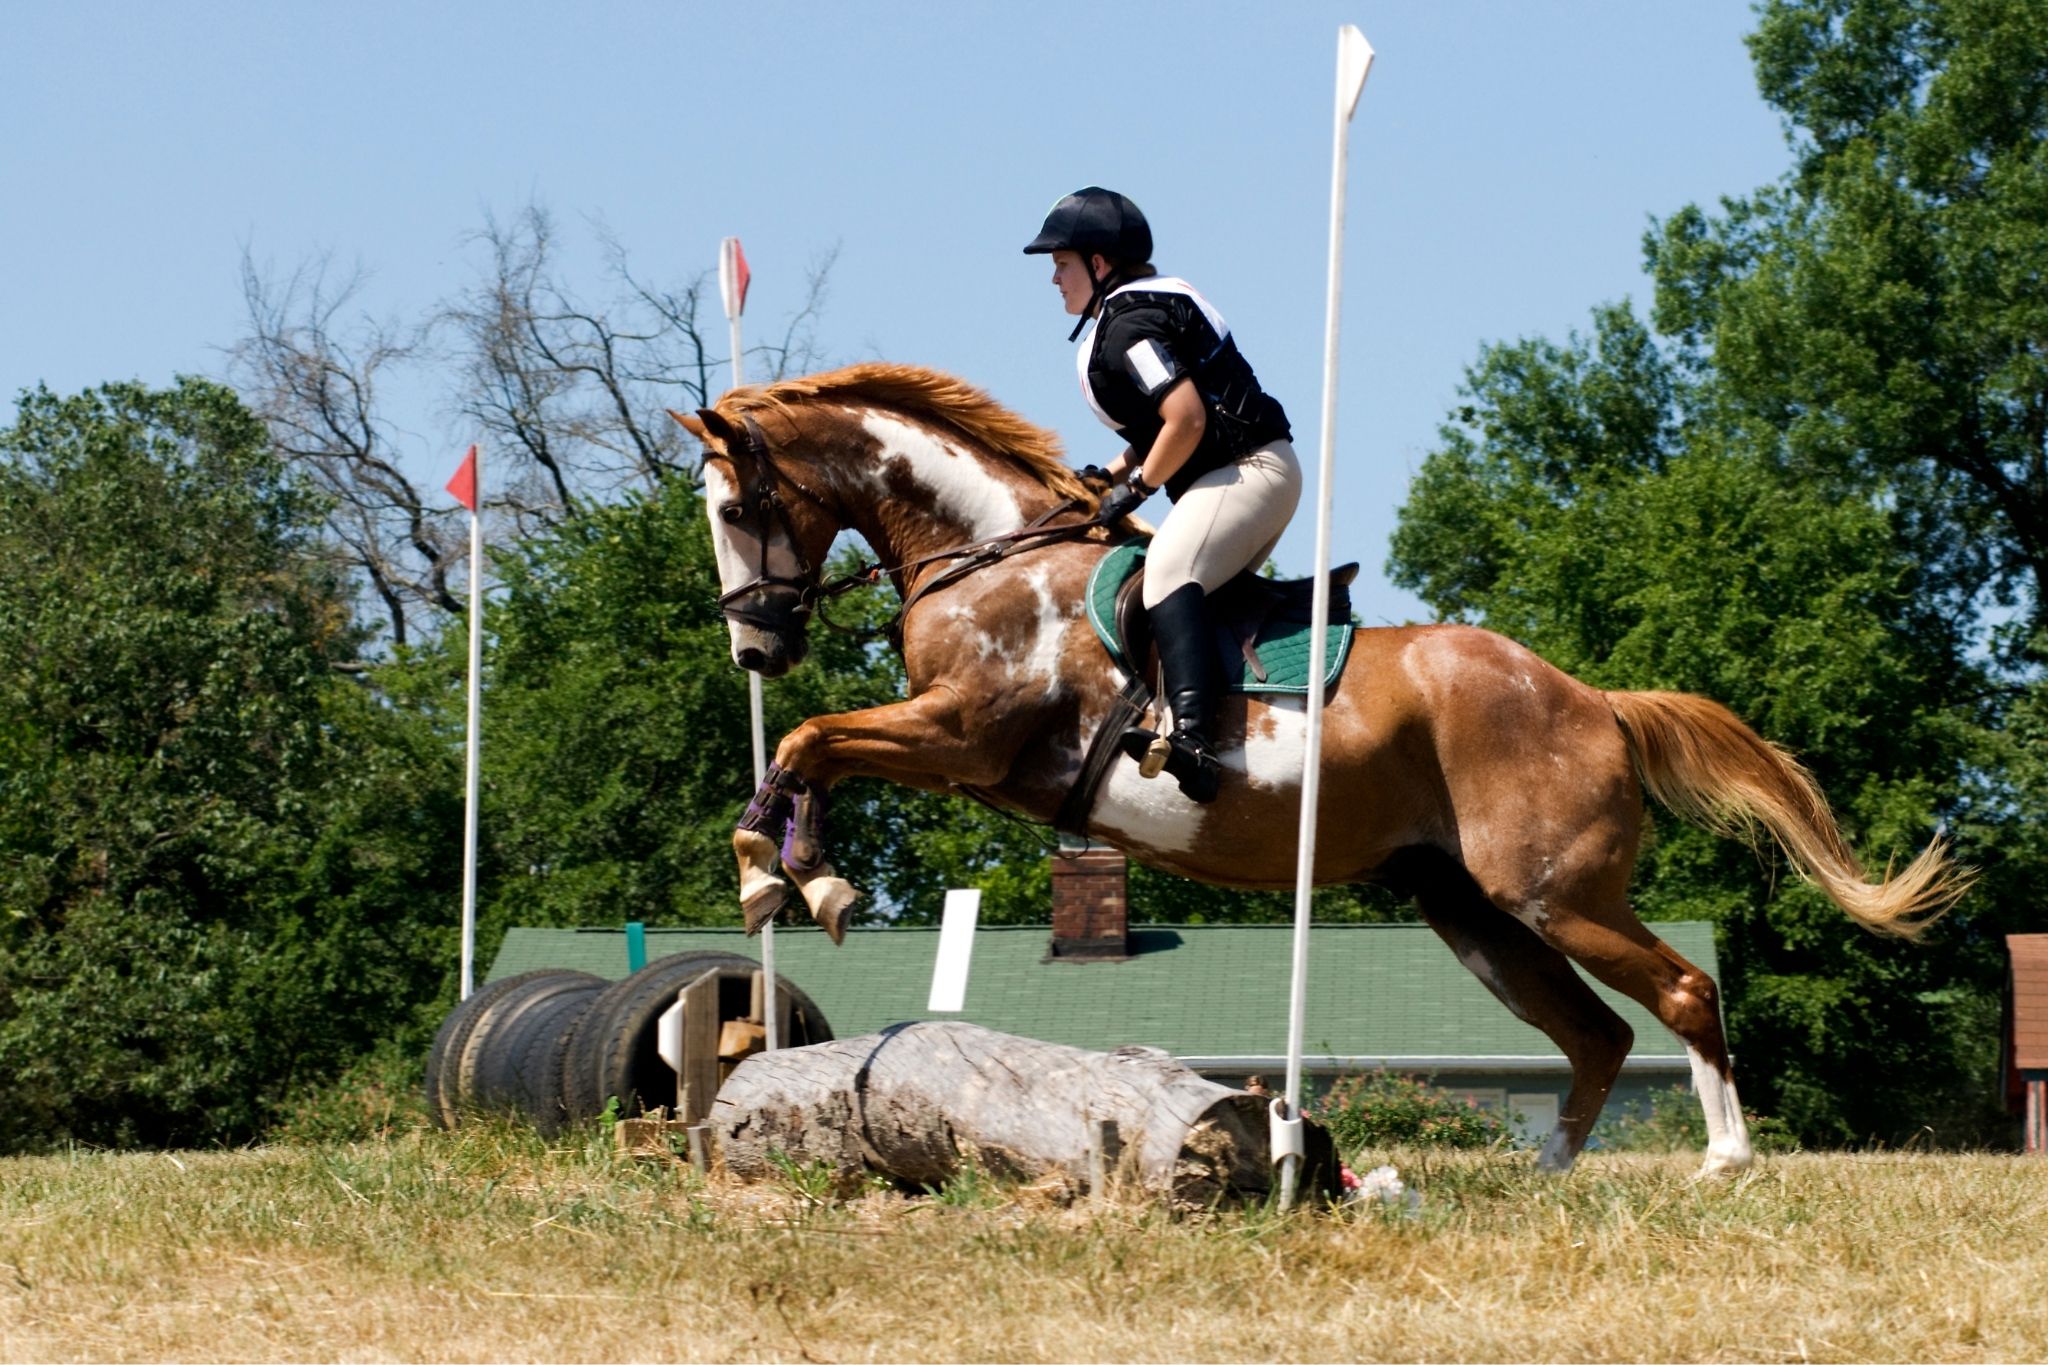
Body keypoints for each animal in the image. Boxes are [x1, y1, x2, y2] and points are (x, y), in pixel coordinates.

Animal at [667, 366, 1966, 1186]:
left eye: (734, 506)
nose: (752, 649)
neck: (988, 554)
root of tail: (1591, 698)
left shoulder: (964, 736)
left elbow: (808, 739)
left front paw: (790, 879)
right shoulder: (955, 750)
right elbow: (810, 750)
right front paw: (787, 877)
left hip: (1554, 894)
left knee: (1681, 996)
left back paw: (1721, 1157)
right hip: (1469, 911)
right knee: (1594, 1037)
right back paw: (1544, 1173)